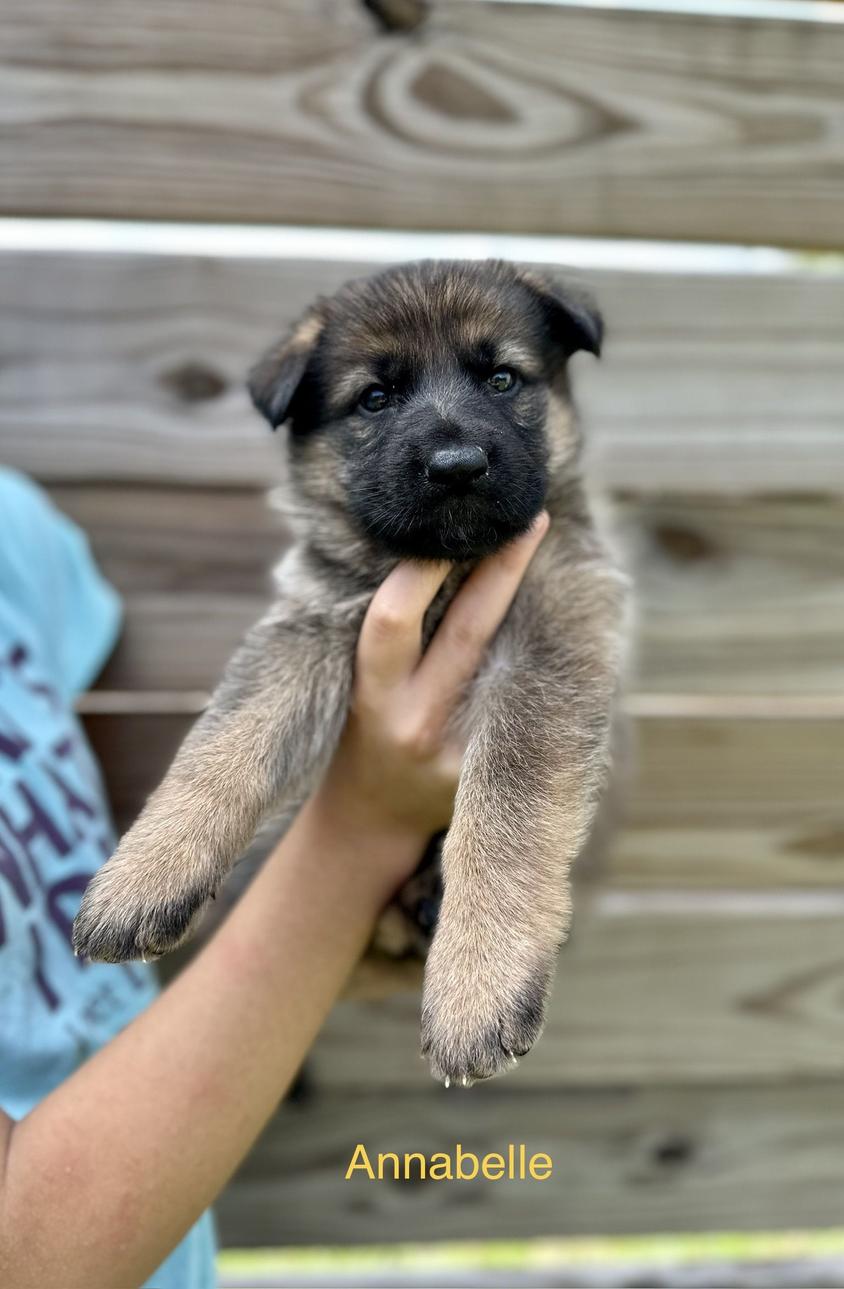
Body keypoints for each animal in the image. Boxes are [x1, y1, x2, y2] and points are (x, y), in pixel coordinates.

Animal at [70, 256, 626, 1082]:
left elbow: (503, 811)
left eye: (501, 379)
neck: (447, 570)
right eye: (375, 397)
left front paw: (478, 982)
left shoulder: (545, 655)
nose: (456, 465)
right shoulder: (310, 624)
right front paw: (146, 875)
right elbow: (223, 742)